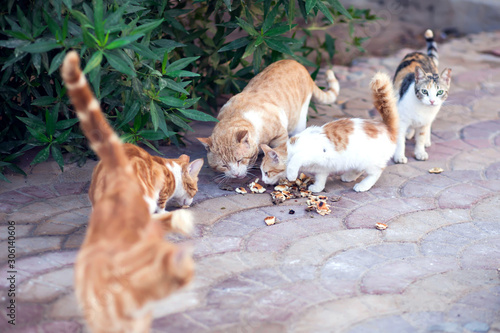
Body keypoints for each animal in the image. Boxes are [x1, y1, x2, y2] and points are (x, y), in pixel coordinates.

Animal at [196, 58, 340, 180]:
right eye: (224, 165)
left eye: (239, 160)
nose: (235, 174)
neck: (237, 114)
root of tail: (296, 62)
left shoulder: (280, 134)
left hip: (299, 119)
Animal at [392, 29, 452, 163]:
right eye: (424, 91)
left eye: (439, 92)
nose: (432, 101)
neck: (422, 109)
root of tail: (420, 53)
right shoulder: (402, 120)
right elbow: (400, 140)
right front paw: (399, 156)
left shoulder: (425, 121)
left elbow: (420, 137)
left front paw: (420, 152)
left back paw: (426, 140)